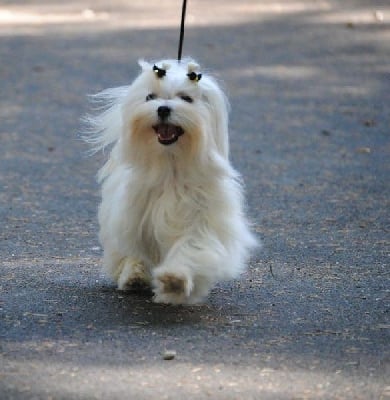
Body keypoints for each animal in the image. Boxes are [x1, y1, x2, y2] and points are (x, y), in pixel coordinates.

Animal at [84, 58, 258, 304]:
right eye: (150, 97)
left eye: (186, 98)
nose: (163, 108)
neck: (170, 166)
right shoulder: (136, 219)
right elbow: (137, 250)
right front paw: (139, 274)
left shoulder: (200, 220)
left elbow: (190, 246)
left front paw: (174, 279)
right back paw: (134, 277)